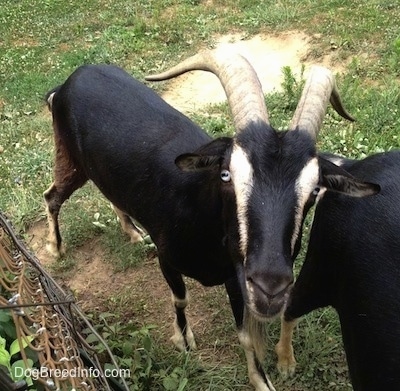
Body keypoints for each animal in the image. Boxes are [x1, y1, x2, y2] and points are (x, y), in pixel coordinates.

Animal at [44, 49, 378, 391]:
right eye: (226, 175)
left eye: (314, 190)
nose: (270, 287)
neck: (200, 215)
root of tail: (67, 83)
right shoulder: (168, 258)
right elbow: (180, 299)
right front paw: (183, 340)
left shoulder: (236, 274)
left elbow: (246, 335)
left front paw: (261, 380)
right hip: (70, 159)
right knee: (51, 196)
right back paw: (55, 248)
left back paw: (132, 232)